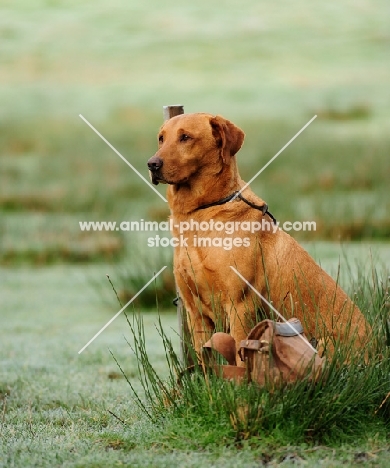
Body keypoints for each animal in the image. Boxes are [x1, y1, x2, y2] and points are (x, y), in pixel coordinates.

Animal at [148, 112, 370, 362]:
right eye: (161, 138)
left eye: (185, 137)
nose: (152, 164)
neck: (200, 214)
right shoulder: (195, 313)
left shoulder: (240, 306)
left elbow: (240, 358)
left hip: (321, 344)